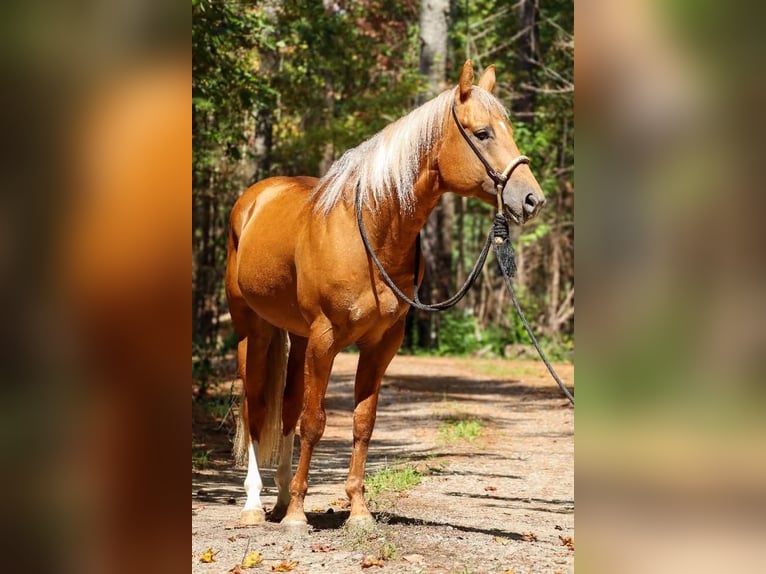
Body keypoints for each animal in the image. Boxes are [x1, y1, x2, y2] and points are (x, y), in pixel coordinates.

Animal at [225, 60, 546, 530]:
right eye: (484, 132)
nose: (532, 199)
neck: (373, 230)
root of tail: (254, 198)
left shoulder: (380, 345)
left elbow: (362, 422)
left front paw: (357, 511)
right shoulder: (325, 339)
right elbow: (315, 421)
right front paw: (300, 516)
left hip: (295, 337)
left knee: (285, 408)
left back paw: (281, 499)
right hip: (254, 329)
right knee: (255, 406)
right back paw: (255, 504)